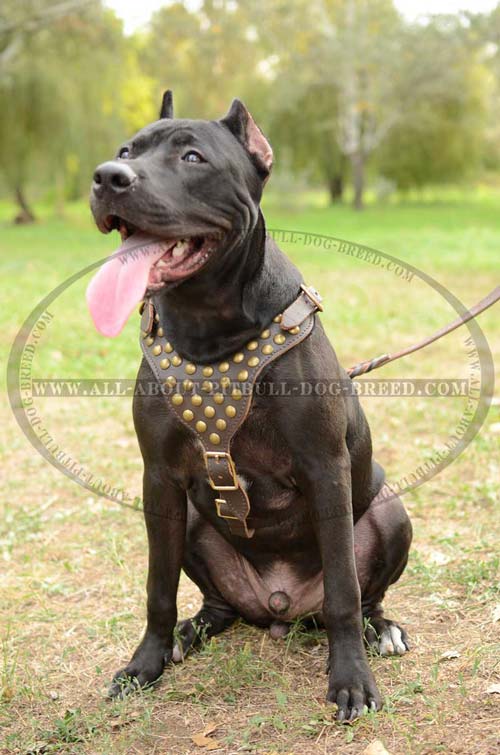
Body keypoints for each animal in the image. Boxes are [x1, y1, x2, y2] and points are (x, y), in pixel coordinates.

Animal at [88, 93, 412, 720]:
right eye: (124, 151)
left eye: (192, 156)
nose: (107, 177)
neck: (208, 328)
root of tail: (280, 607)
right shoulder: (158, 478)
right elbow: (157, 588)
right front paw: (145, 664)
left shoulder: (325, 468)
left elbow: (344, 587)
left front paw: (351, 680)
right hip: (194, 523)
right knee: (217, 603)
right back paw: (190, 633)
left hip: (389, 511)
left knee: (362, 597)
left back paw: (379, 631)